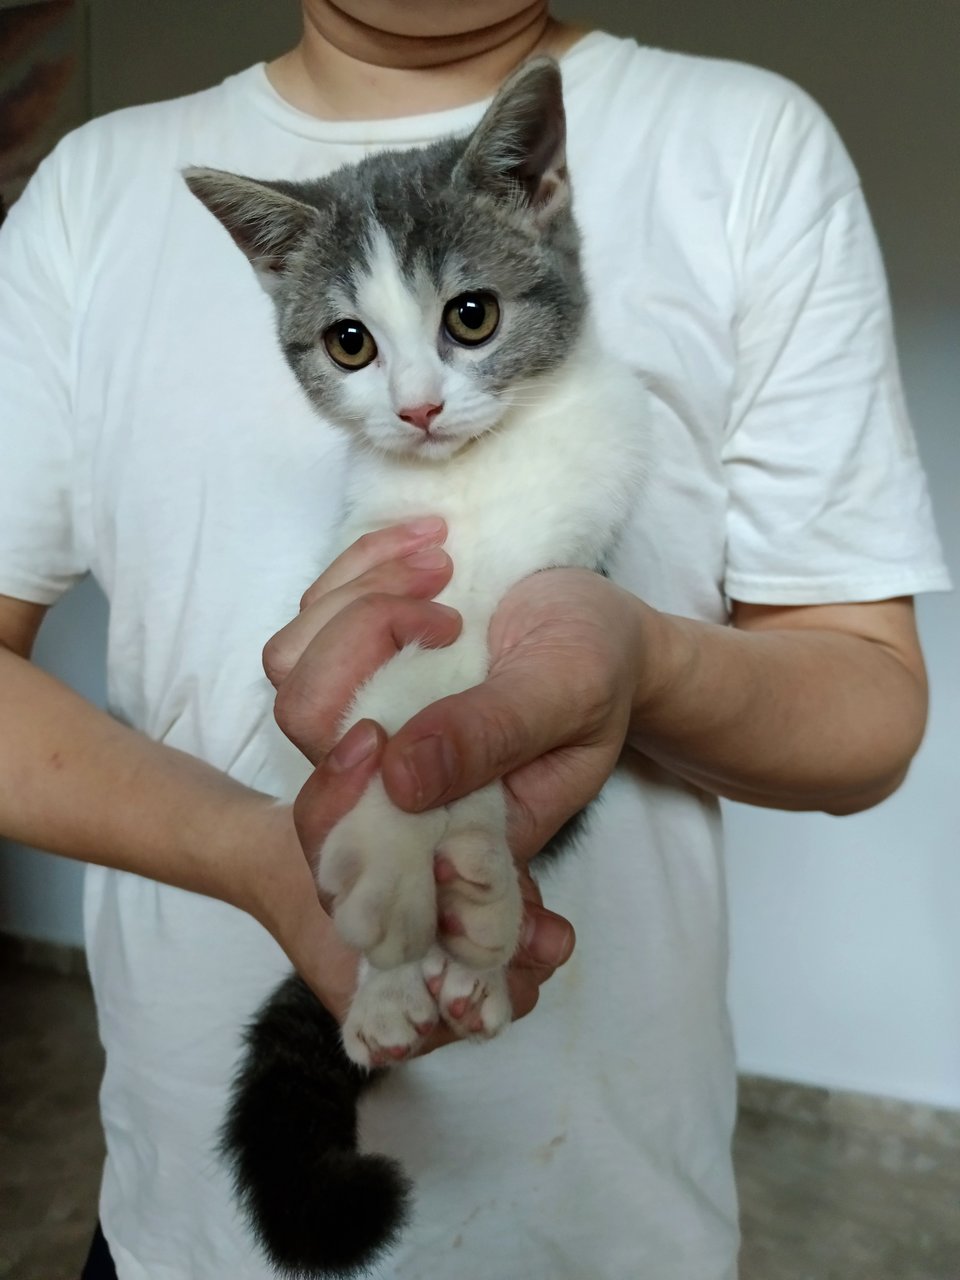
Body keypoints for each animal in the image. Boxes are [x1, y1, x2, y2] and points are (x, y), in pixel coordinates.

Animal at [185, 57, 650, 1280]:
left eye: (470, 316)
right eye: (350, 342)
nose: (421, 408)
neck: (469, 483)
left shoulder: (563, 557)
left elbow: (480, 705)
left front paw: (456, 863)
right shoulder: (375, 577)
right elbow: (382, 717)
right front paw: (393, 868)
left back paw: (478, 926)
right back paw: (397, 985)